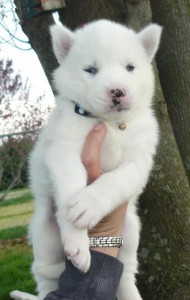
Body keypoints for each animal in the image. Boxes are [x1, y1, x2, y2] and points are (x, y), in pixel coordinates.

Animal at [27, 19, 160, 298]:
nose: (117, 91)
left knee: (125, 272)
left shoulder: (138, 163)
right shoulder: (63, 152)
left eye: (130, 67)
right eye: (91, 70)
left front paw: (88, 204)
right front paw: (77, 240)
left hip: (131, 231)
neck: (109, 124)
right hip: (44, 233)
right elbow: (71, 188)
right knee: (42, 274)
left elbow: (115, 180)